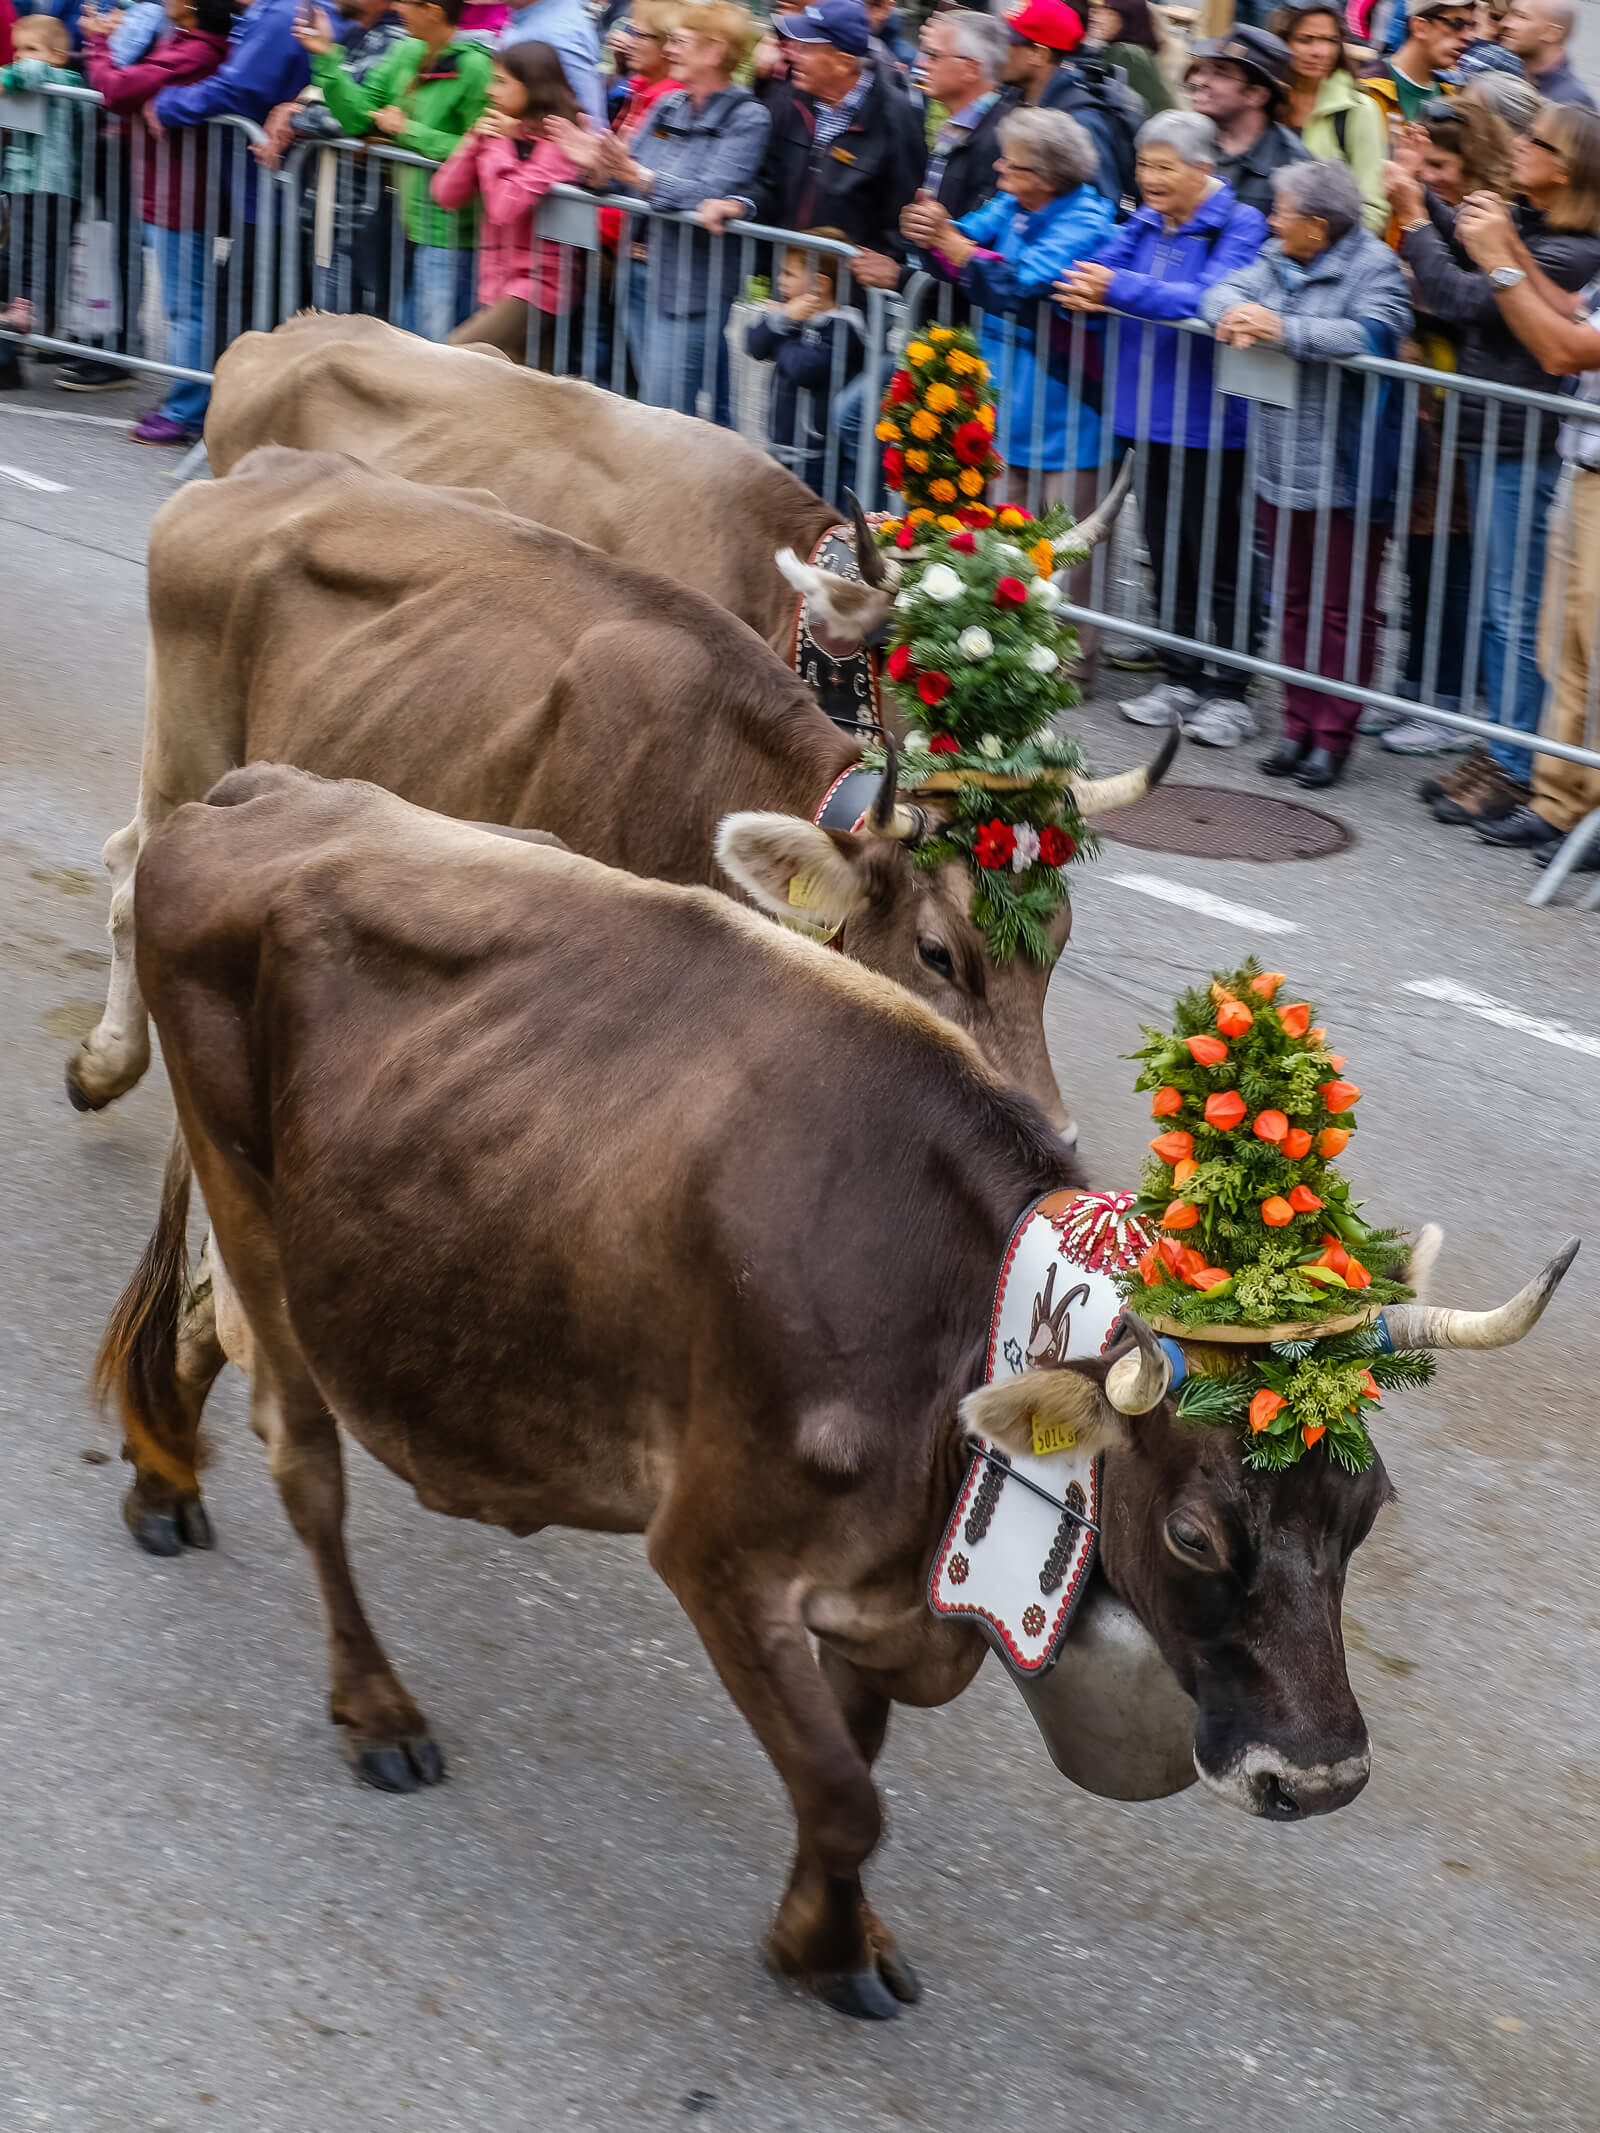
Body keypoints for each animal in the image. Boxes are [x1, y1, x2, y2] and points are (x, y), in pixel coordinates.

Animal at [68, 445, 1169, 1134]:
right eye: (939, 954)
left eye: (1059, 941)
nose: (1050, 1130)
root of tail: (259, 468)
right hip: (188, 745)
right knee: (131, 879)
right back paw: (108, 1062)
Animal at [100, 763, 1578, 2013]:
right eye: (1196, 1534)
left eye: (1366, 1511)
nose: (1319, 1775)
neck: (948, 1345)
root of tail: (248, 792)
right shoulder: (712, 1552)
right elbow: (844, 1792)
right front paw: (818, 1947)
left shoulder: (882, 1592)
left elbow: (849, 1774)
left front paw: (831, 1928)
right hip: (258, 1214)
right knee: (302, 1457)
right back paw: (375, 1707)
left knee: (211, 1333)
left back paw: (161, 1470)